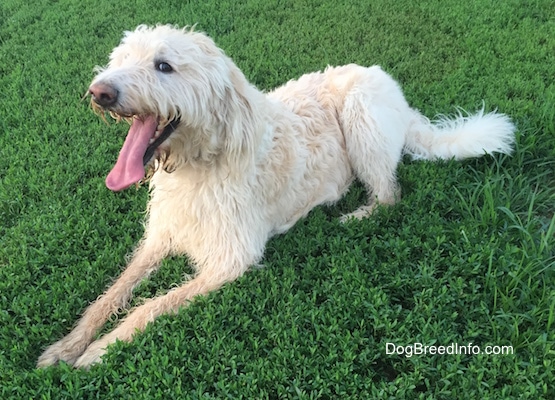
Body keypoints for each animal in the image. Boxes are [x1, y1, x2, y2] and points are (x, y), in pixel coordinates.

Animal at [38, 24, 516, 368]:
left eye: (164, 66)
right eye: (121, 60)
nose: (100, 91)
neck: (198, 166)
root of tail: (390, 85)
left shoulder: (231, 260)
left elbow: (152, 305)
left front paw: (102, 350)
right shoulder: (160, 237)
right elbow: (112, 293)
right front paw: (67, 345)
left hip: (361, 115)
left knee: (390, 194)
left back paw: (353, 215)